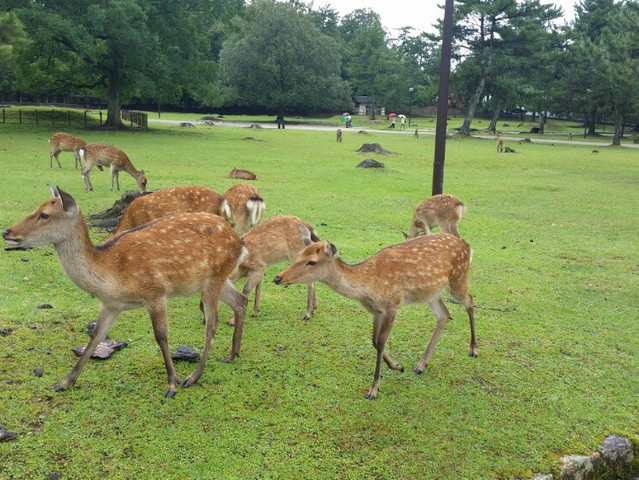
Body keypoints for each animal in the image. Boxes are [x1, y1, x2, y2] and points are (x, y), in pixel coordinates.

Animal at [2, 186, 248, 400]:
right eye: (37, 207)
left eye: (44, 215)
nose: (7, 231)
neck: (111, 274)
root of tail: (239, 241)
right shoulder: (111, 305)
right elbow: (95, 337)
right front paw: (64, 382)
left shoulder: (156, 293)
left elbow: (161, 336)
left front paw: (171, 385)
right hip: (216, 279)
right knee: (240, 301)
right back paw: (232, 354)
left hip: (213, 278)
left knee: (212, 324)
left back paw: (194, 376)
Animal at [272, 232, 478, 402]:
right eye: (299, 255)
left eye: (312, 261)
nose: (277, 278)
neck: (367, 286)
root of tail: (467, 247)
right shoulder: (376, 311)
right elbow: (374, 340)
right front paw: (398, 366)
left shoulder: (392, 306)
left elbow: (380, 342)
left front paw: (373, 390)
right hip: (432, 293)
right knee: (444, 315)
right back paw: (421, 365)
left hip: (458, 279)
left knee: (470, 301)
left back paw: (473, 349)